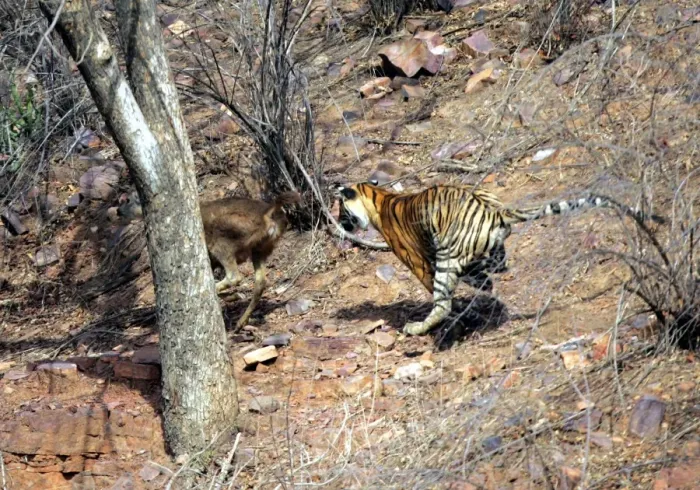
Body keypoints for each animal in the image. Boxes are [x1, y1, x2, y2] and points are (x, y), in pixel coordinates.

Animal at [335, 180, 664, 336]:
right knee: (493, 273)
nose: (339, 223)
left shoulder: (418, 263)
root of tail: (496, 211)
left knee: (443, 303)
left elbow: (441, 295)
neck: (377, 197)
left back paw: (420, 329)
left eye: (341, 209)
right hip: (484, 250)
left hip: (446, 258)